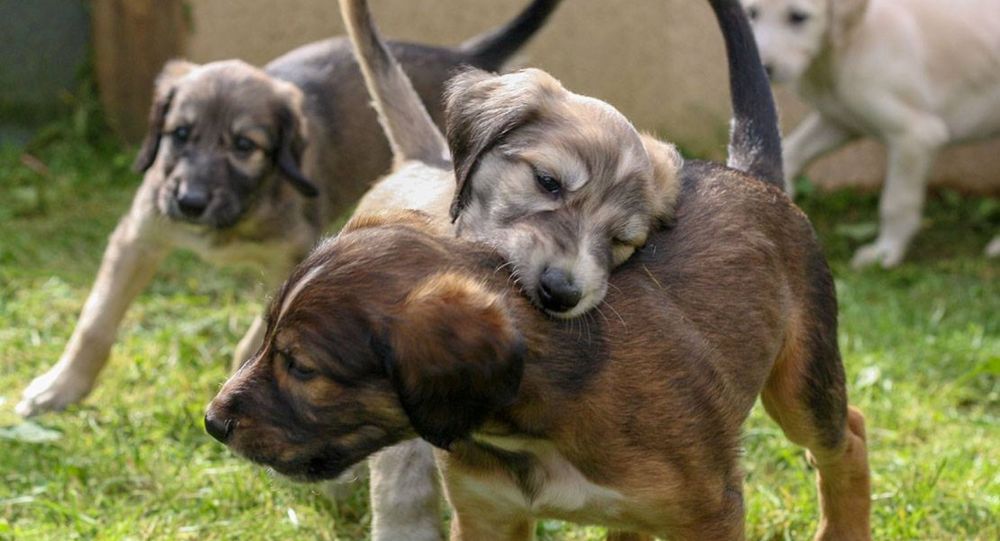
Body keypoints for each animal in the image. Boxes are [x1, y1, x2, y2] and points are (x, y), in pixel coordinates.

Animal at [15, 0, 564, 416]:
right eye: (180, 134)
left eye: (245, 146)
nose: (189, 203)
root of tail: (458, 53)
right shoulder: (140, 234)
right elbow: (96, 320)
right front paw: (60, 386)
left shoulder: (294, 253)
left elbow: (261, 328)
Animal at [744, 0, 1000, 266]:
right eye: (752, 13)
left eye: (798, 17)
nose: (763, 68)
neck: (848, 47)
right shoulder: (838, 121)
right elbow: (794, 151)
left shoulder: (916, 136)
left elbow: (896, 202)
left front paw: (885, 253)